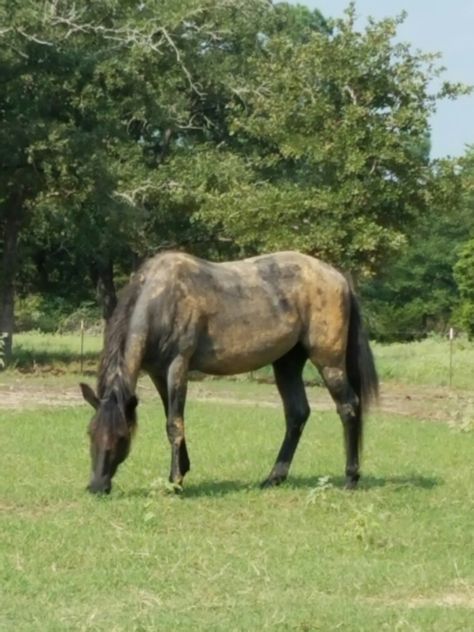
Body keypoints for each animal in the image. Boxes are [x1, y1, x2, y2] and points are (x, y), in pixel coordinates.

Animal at [80, 251, 378, 494]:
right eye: (90, 432)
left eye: (122, 436)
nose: (96, 486)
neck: (161, 299)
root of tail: (339, 278)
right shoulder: (157, 373)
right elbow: (173, 418)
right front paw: (181, 472)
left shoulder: (178, 366)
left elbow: (174, 424)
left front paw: (175, 482)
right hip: (287, 363)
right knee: (297, 414)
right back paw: (274, 477)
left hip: (329, 363)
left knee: (348, 407)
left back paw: (350, 478)